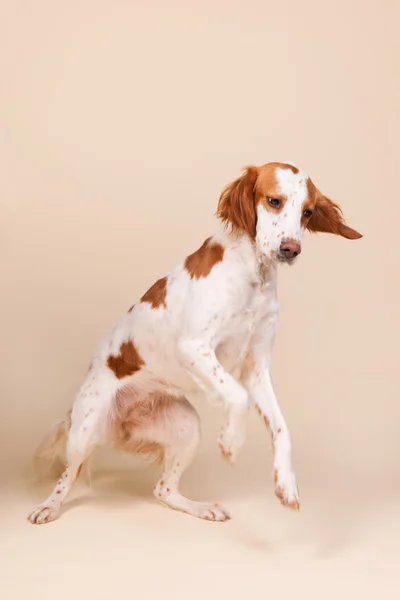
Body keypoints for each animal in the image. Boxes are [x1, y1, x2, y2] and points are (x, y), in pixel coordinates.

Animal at [28, 163, 362, 524]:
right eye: (274, 201)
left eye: (308, 212)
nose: (290, 249)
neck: (253, 275)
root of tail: (122, 425)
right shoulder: (195, 347)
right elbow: (238, 396)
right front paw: (232, 439)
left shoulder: (256, 367)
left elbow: (281, 427)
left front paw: (286, 484)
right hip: (86, 429)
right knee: (68, 475)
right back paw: (48, 506)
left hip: (187, 428)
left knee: (163, 490)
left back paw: (202, 508)